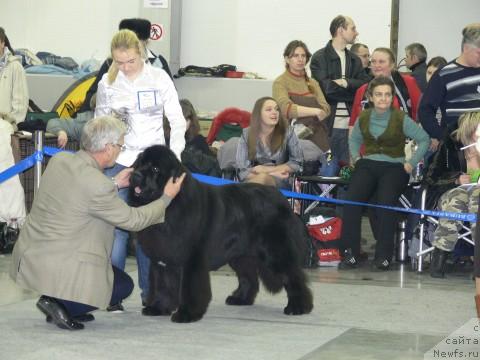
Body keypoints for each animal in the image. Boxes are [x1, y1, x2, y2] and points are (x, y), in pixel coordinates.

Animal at [129, 145, 314, 322]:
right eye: (139, 164)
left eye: (155, 169)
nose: (135, 175)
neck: (170, 204)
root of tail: (281, 199)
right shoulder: (161, 259)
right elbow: (163, 286)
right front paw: (158, 308)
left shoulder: (192, 260)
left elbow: (190, 289)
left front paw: (186, 314)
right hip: (241, 254)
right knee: (249, 277)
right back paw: (240, 299)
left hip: (275, 252)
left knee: (293, 276)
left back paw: (298, 307)